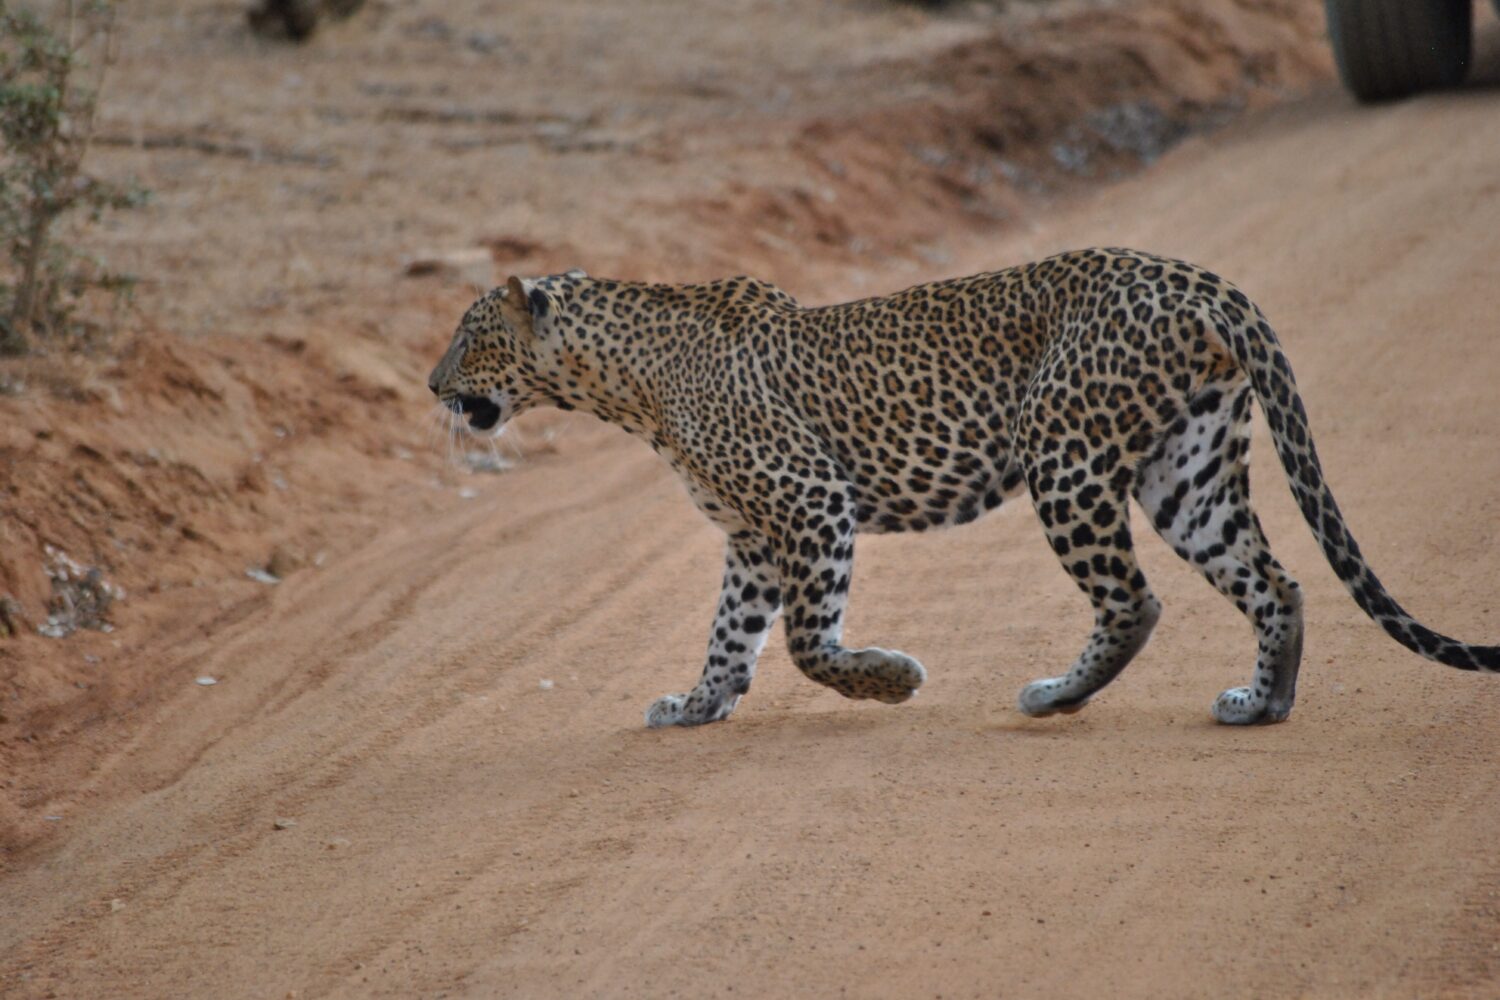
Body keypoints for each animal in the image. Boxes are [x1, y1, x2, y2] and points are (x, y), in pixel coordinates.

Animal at [426, 244, 1500, 728]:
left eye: (470, 337)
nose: (434, 387)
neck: (623, 382)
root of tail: (1197, 278)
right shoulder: (751, 536)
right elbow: (731, 634)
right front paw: (697, 704)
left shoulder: (810, 500)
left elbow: (809, 643)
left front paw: (891, 679)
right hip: (1186, 469)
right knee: (1272, 582)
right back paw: (1261, 703)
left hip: (1065, 455)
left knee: (1134, 598)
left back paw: (1059, 694)